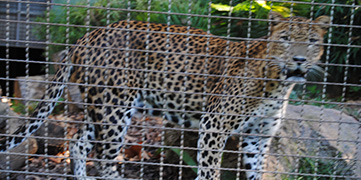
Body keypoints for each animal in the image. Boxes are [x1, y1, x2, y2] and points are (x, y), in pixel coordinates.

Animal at [0, 11, 328, 179]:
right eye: (285, 39)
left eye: (312, 41)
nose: (299, 60)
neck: (278, 85)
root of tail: (89, 34)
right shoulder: (214, 126)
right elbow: (209, 171)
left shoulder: (257, 137)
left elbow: (255, 172)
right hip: (113, 110)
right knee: (105, 161)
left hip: (104, 109)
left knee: (78, 143)